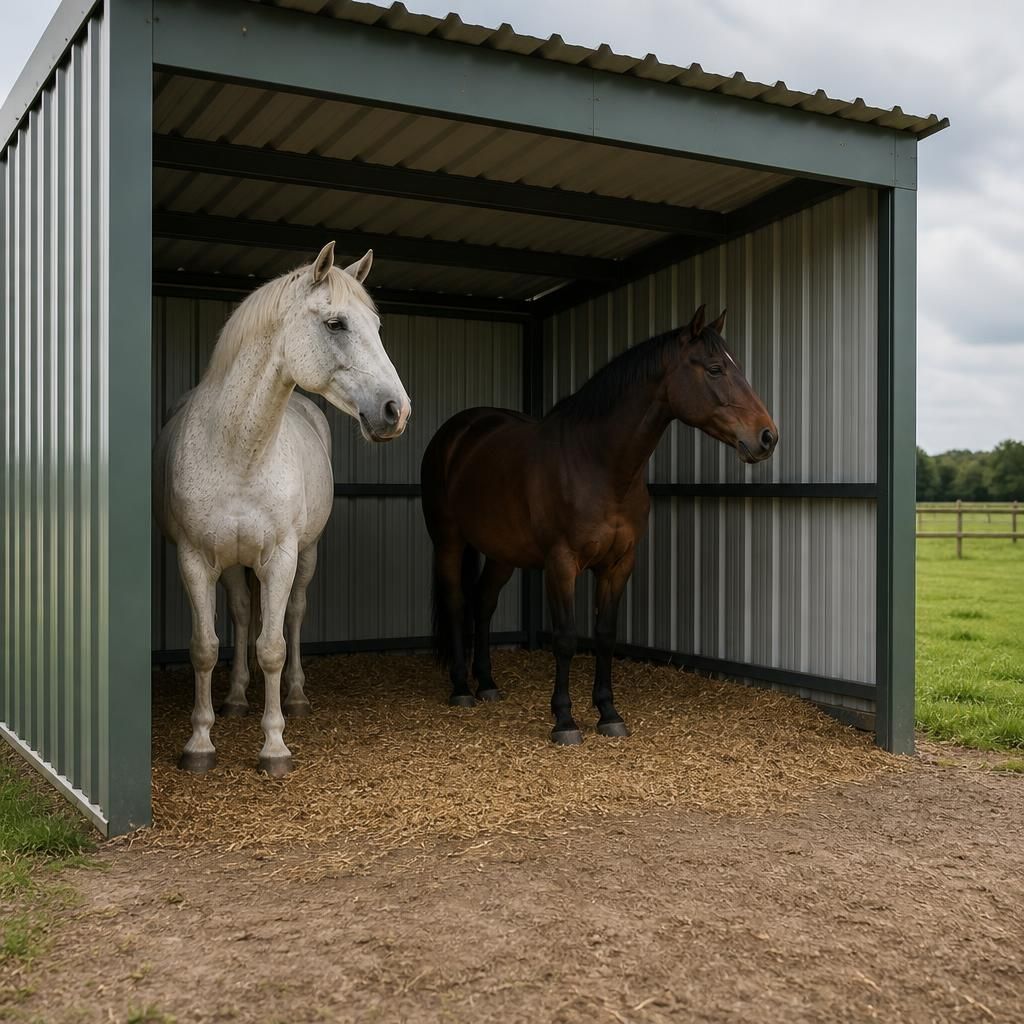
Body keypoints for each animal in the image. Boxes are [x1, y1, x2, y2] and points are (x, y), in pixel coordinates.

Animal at [153, 243, 410, 776]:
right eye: (335, 324)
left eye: (376, 327)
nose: (397, 410)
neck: (238, 450)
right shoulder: (195, 560)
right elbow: (205, 648)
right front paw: (200, 741)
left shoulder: (281, 558)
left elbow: (272, 646)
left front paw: (274, 746)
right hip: (233, 564)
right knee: (242, 613)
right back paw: (235, 698)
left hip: (305, 556)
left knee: (291, 616)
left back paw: (294, 697)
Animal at [420, 305, 777, 745]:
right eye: (714, 369)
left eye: (736, 366)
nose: (767, 437)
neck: (597, 463)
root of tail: (457, 433)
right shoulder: (561, 564)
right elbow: (566, 638)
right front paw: (565, 721)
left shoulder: (619, 563)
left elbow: (605, 635)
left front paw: (609, 713)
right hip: (448, 541)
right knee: (456, 603)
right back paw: (460, 689)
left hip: (503, 551)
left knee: (483, 603)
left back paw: (486, 684)